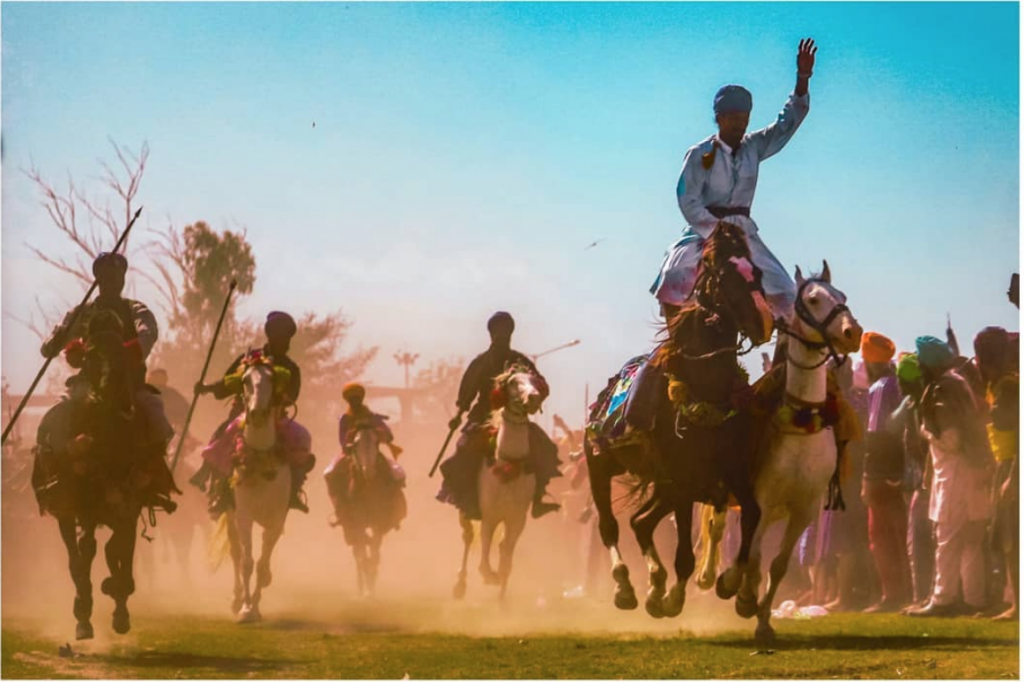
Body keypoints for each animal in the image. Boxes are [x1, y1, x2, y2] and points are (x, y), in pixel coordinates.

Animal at [454, 364, 548, 598]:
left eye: (535, 381)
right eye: (513, 382)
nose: (533, 398)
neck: (508, 465)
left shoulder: (516, 520)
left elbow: (506, 557)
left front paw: (502, 597)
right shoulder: (489, 515)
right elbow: (485, 552)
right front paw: (489, 576)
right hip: (465, 510)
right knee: (468, 536)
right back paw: (460, 584)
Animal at [589, 222, 770, 614]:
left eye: (757, 272)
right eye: (725, 275)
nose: (763, 321)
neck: (707, 392)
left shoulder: (730, 471)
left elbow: (752, 513)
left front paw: (728, 581)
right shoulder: (686, 480)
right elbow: (684, 555)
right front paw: (675, 598)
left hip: (665, 485)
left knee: (640, 522)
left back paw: (655, 585)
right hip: (601, 465)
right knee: (610, 526)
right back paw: (626, 588)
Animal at [704, 262, 856, 647]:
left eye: (842, 295)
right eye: (813, 299)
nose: (853, 332)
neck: (801, 423)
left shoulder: (804, 510)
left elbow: (777, 565)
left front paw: (762, 619)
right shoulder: (761, 502)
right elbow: (753, 559)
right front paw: (742, 596)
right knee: (716, 528)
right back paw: (711, 576)